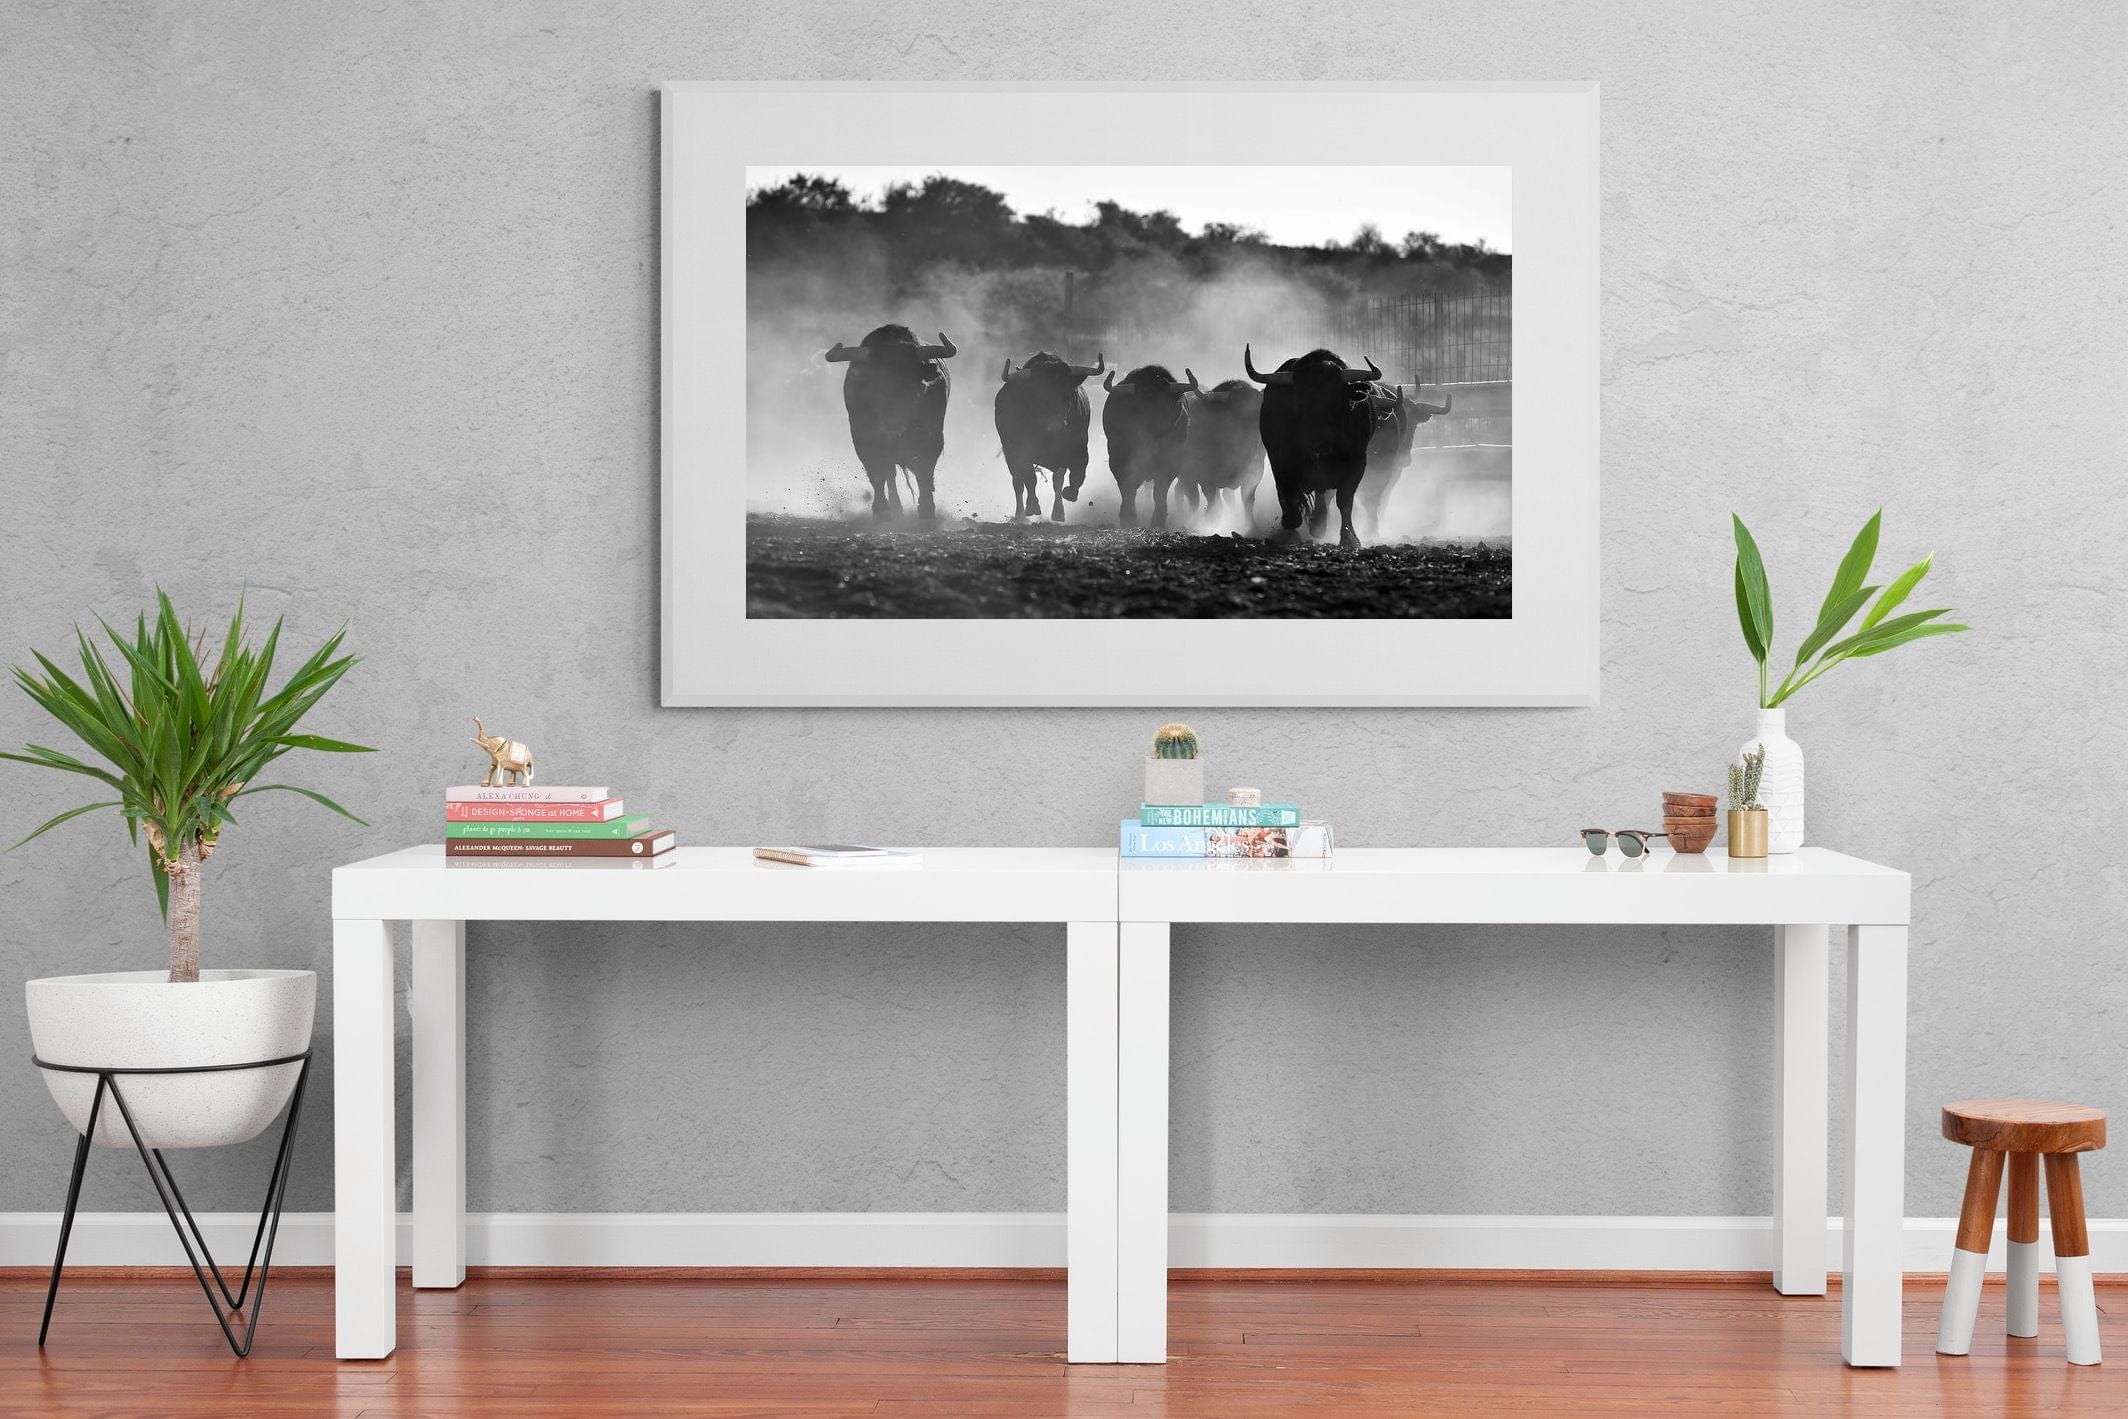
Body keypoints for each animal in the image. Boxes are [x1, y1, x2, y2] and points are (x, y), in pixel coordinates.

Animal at [822, 325, 957, 520]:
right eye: (875, 384)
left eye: (912, 382)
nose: (892, 422)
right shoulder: (863, 439)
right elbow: (878, 474)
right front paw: (881, 510)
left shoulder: (933, 438)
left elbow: (924, 471)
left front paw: (926, 508)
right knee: (889, 474)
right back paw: (896, 507)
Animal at [994, 351, 1105, 521]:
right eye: (1037, 395)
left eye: (1069, 394)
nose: (1055, 426)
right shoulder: (1021, 452)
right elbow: (1029, 479)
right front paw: (1033, 506)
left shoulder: (1079, 449)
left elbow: (1077, 474)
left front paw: (1069, 494)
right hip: (1010, 454)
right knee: (1018, 482)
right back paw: (1020, 516)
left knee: (1057, 481)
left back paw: (1058, 512)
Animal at [1100, 365, 1198, 528]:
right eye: (1139, 404)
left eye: (1166, 405)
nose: (1154, 427)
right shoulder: (1118, 459)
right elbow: (1128, 488)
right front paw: (1128, 518)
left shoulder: (1171, 463)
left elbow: (1159, 492)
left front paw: (1158, 520)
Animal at [1177, 378, 1266, 532]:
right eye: (1236, 415)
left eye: (1260, 413)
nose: (1255, 441)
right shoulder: (1205, 476)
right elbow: (1210, 498)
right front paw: (1210, 522)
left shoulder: (1255, 472)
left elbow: (1248, 499)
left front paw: (1252, 527)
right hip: (1186, 475)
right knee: (1193, 497)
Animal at [1244, 345, 1385, 548]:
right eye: (1299, 401)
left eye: (1337, 399)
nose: (1319, 442)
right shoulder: (1279, 457)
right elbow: (1288, 493)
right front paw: (1289, 523)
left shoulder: (1358, 461)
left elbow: (1345, 500)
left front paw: (1349, 538)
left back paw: (1318, 523)